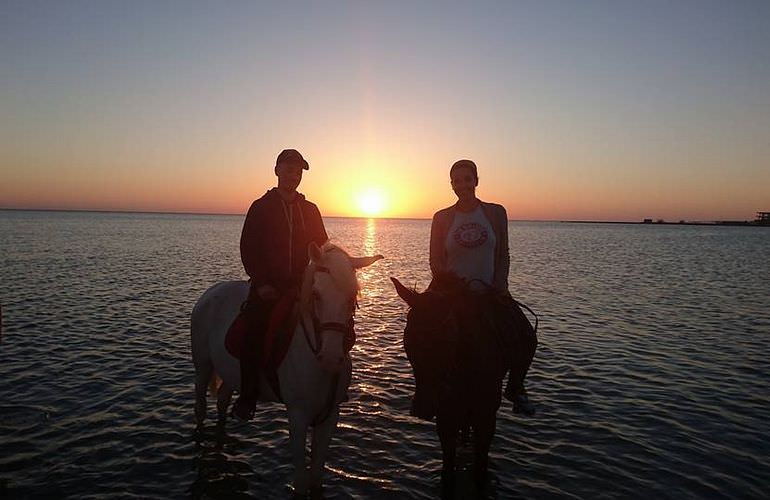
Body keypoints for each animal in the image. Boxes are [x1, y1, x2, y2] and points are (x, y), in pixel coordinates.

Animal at [190, 241, 380, 496]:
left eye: (352, 296)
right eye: (316, 295)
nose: (331, 358)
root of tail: (211, 292)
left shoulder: (330, 416)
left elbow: (317, 478)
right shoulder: (298, 416)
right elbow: (300, 481)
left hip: (230, 373)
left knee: (221, 401)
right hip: (202, 365)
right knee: (200, 406)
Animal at [390, 276, 510, 498]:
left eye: (447, 339)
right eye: (408, 339)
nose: (422, 408)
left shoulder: (486, 416)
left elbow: (481, 471)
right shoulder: (446, 413)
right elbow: (447, 472)